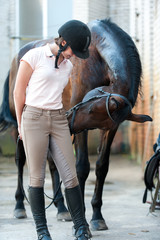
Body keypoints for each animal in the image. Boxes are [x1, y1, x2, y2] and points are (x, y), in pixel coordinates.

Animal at [0, 19, 152, 231]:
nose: (68, 119)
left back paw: (61, 208)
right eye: (89, 109)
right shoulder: (82, 128)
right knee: (20, 160)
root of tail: (17, 58)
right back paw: (19, 206)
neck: (96, 58)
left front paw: (97, 216)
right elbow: (81, 167)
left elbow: (101, 167)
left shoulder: (110, 128)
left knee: (51, 162)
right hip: (19, 127)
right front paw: (83, 221)